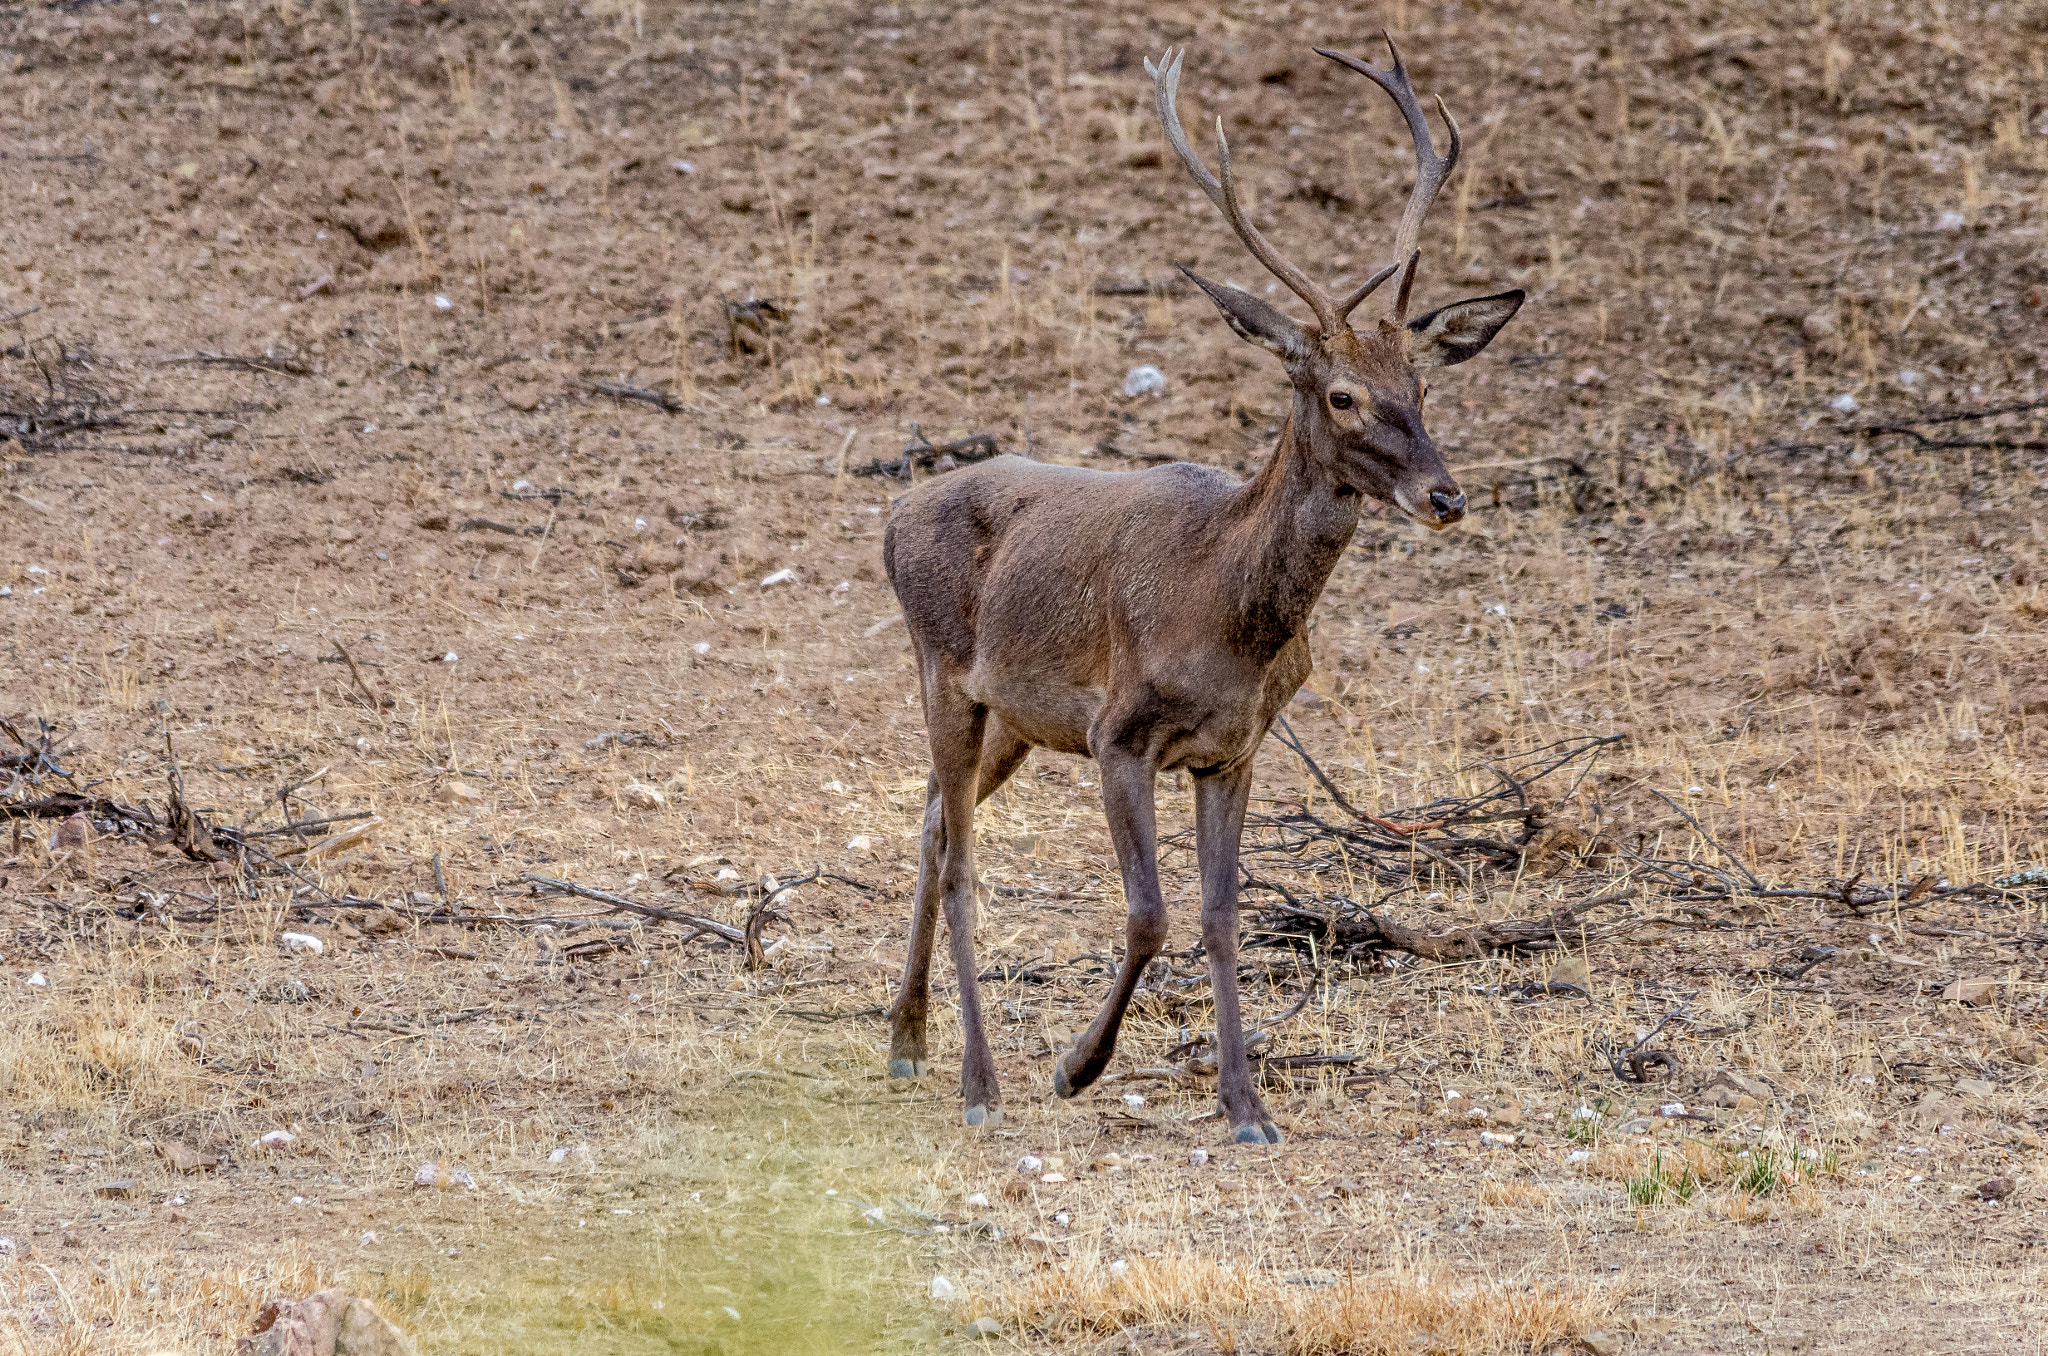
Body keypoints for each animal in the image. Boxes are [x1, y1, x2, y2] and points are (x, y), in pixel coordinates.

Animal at [880, 39, 1523, 1147]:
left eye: (1424, 390)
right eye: (1341, 396)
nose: (1445, 496)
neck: (1229, 616)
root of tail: (888, 518)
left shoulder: (1234, 748)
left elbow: (1221, 914)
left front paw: (1245, 1106)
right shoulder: (1119, 733)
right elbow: (1150, 912)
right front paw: (1077, 1068)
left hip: (1010, 716)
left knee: (928, 827)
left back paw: (906, 1038)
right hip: (941, 669)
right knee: (959, 859)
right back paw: (979, 1081)